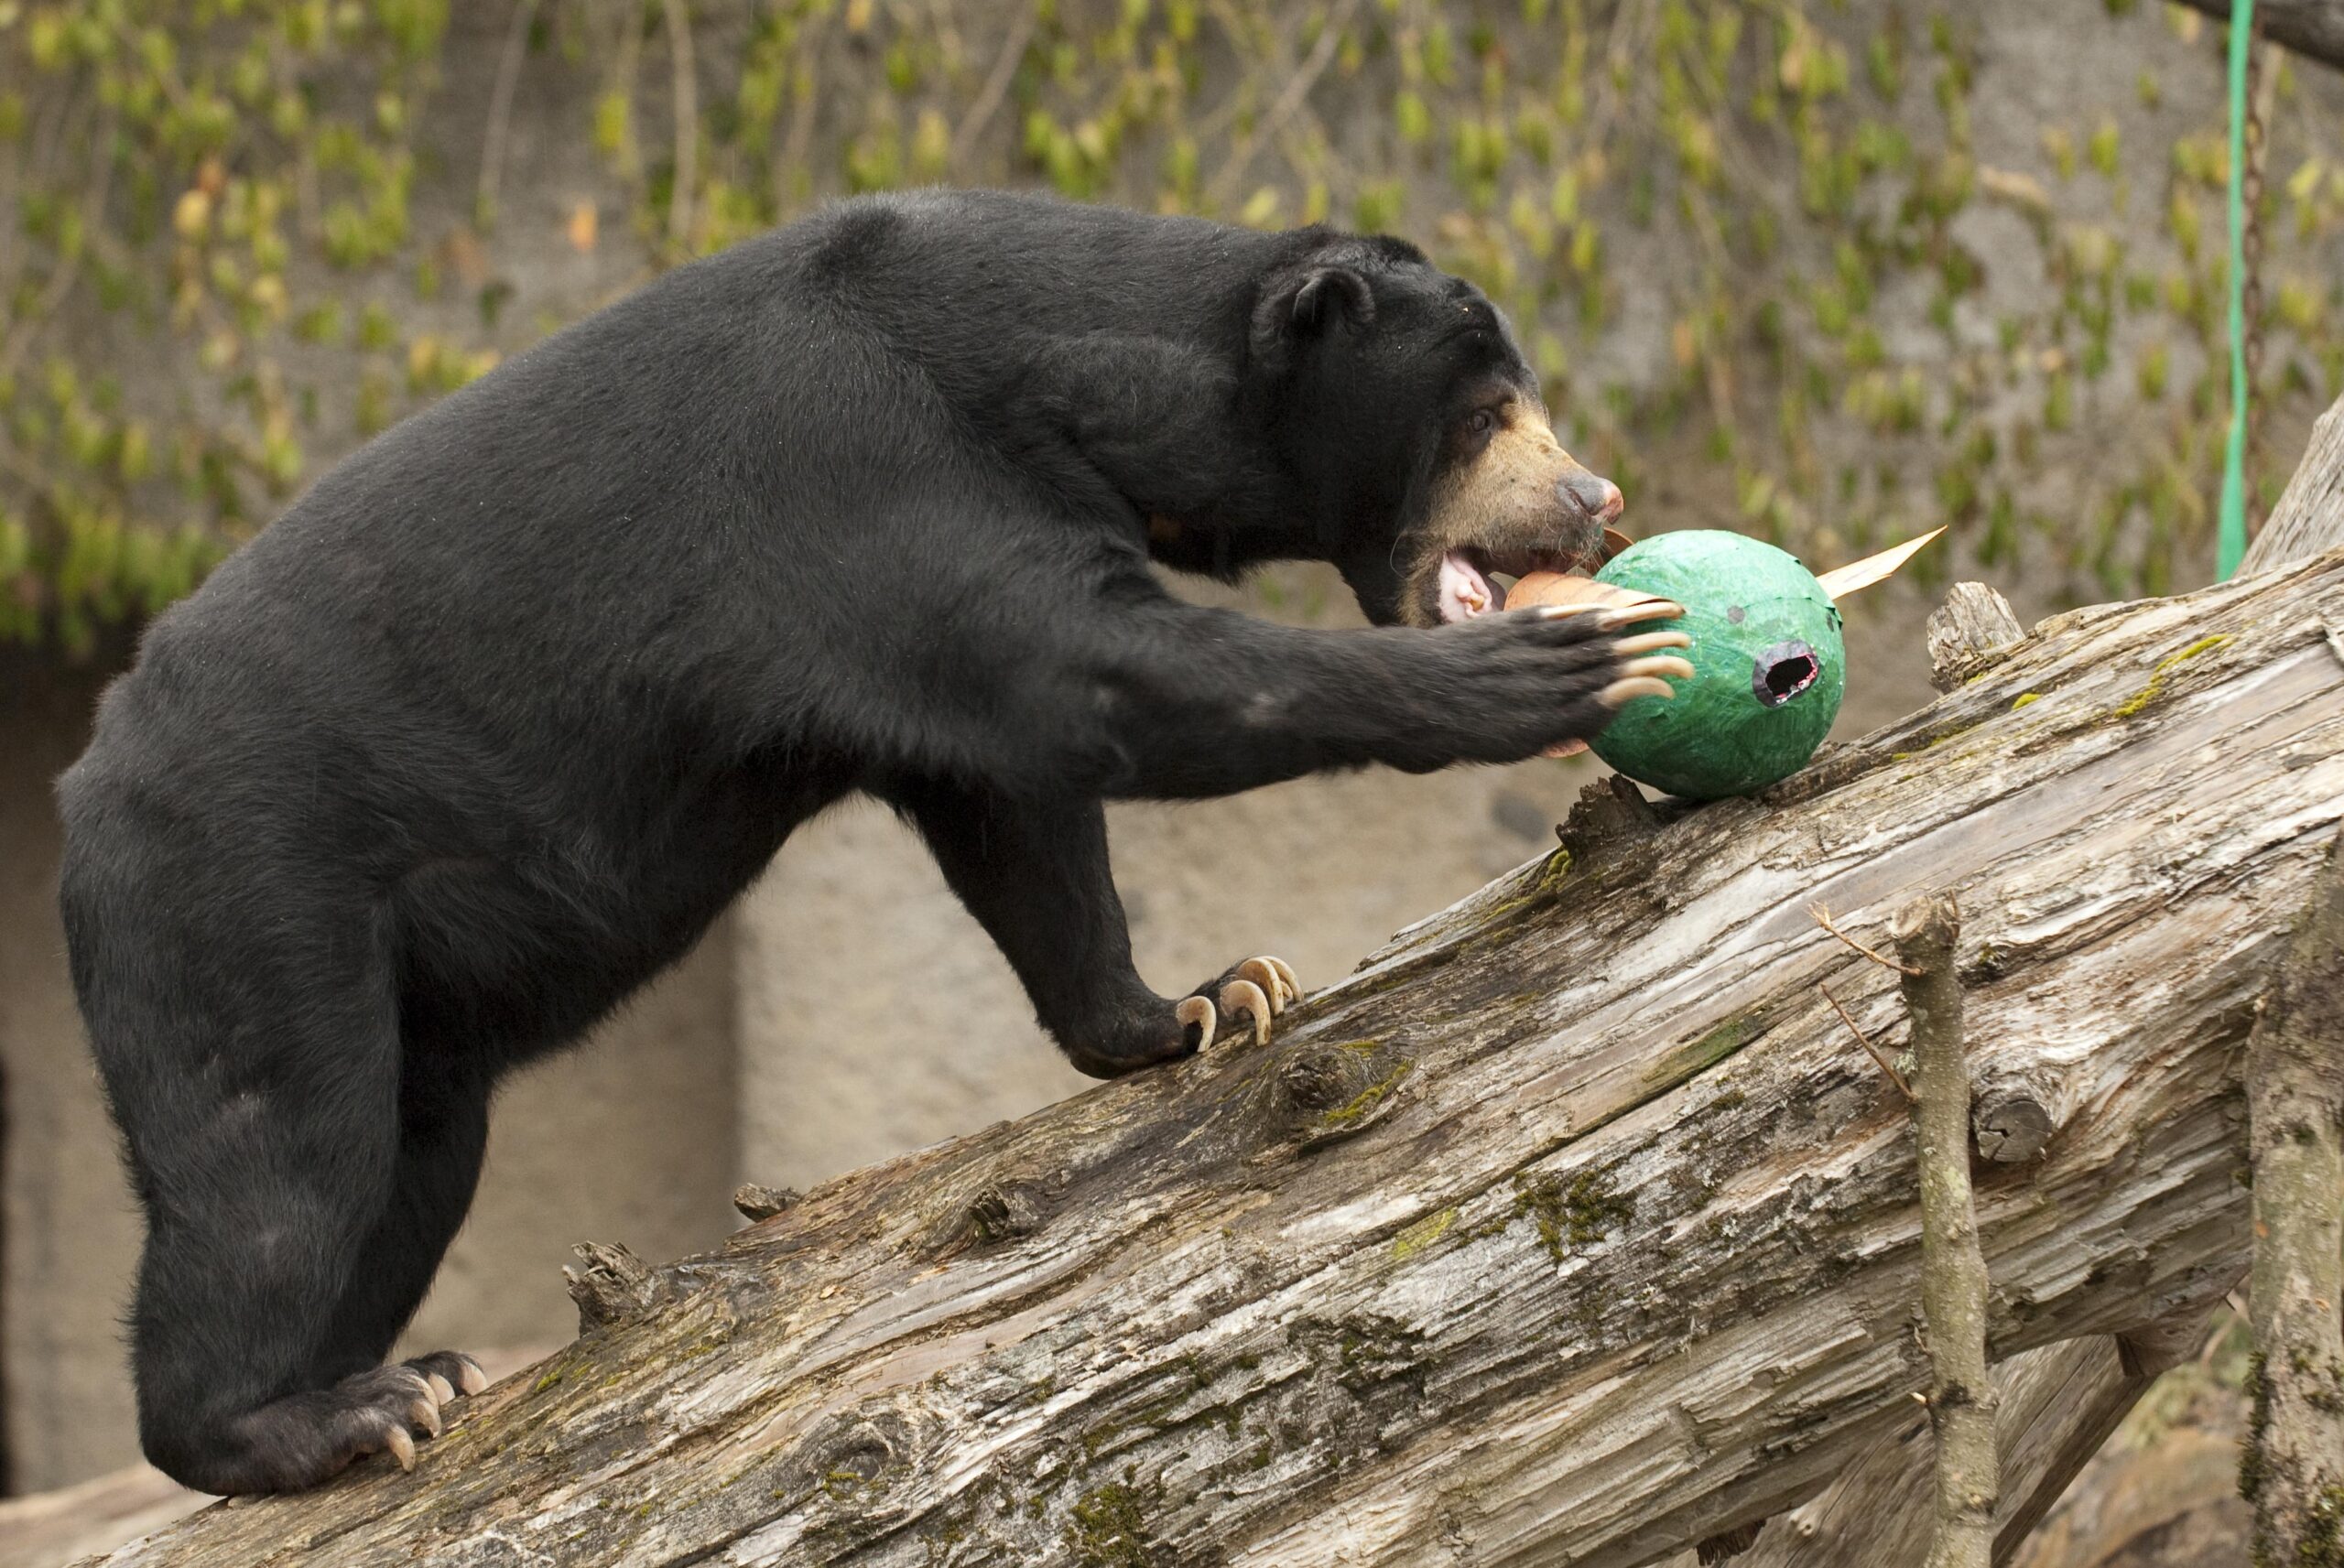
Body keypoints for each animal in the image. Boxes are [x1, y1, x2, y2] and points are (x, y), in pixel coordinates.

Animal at [50, 189, 1687, 1490]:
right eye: (1492, 411)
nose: (1600, 498)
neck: (1065, 380)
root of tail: (83, 788)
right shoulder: (870, 480)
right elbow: (1093, 680)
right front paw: (1551, 671)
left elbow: (1019, 814)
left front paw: (1204, 1004)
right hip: (246, 893)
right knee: (283, 1162)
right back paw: (324, 1418)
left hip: (398, 1014)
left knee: (409, 1162)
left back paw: (416, 1380)